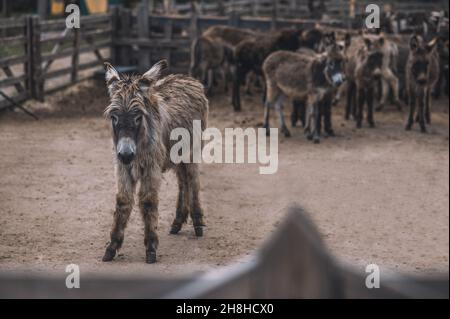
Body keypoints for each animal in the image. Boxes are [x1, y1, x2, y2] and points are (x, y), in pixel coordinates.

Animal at [102, 60, 209, 264]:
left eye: (138, 117)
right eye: (114, 117)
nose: (126, 154)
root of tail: (188, 78)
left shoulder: (151, 167)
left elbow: (148, 201)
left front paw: (151, 247)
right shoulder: (122, 167)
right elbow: (123, 200)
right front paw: (111, 247)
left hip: (191, 152)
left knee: (193, 180)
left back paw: (198, 223)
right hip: (175, 155)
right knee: (183, 181)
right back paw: (177, 222)